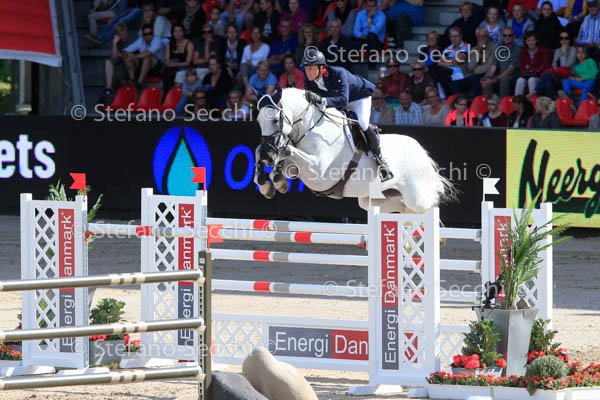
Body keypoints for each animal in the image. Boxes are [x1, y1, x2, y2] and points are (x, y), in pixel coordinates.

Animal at [253, 88, 452, 213]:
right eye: (258, 121)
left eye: (274, 120)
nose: (267, 156)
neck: (311, 128)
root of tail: (421, 152)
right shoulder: (297, 167)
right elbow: (276, 155)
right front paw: (270, 184)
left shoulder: (319, 172)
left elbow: (287, 150)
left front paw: (274, 181)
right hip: (373, 199)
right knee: (402, 207)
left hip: (417, 197)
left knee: (429, 203)